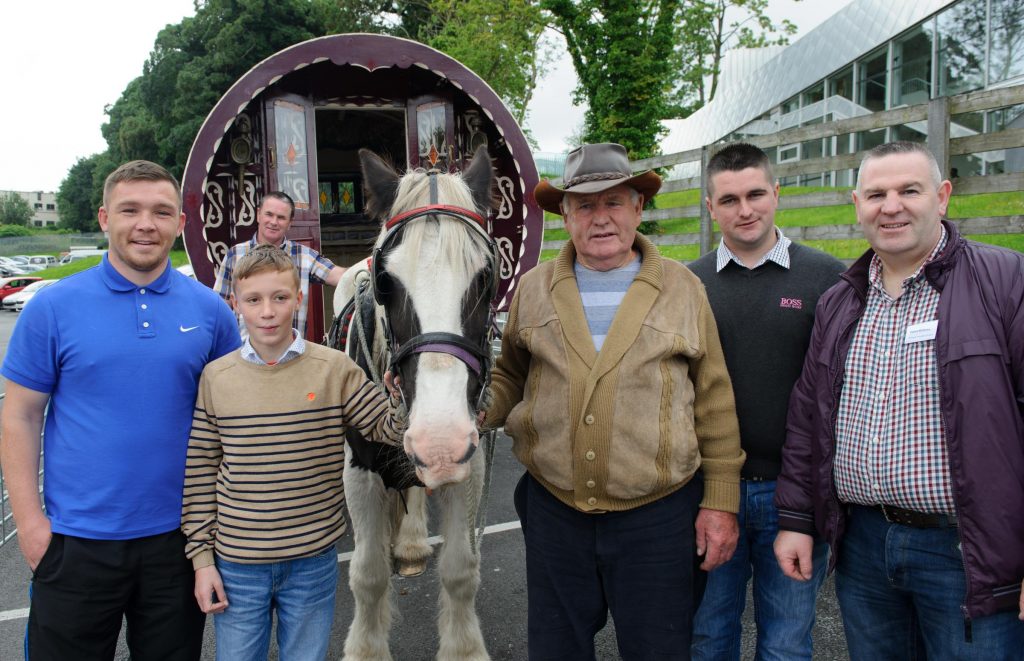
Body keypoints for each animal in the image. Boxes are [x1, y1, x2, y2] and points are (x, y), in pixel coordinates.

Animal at [331, 147, 495, 658]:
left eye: (486, 275)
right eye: (386, 279)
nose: (439, 439)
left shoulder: (469, 462)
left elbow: (461, 569)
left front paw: (464, 648)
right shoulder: (359, 472)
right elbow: (366, 575)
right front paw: (365, 648)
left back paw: (411, 541)